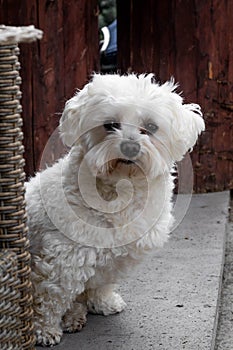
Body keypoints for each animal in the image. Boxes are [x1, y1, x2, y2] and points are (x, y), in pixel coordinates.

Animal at [24, 72, 205, 346]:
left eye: (151, 127)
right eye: (110, 125)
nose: (130, 146)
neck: (120, 190)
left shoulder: (113, 261)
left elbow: (102, 284)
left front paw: (104, 303)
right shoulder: (64, 260)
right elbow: (51, 298)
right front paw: (44, 330)